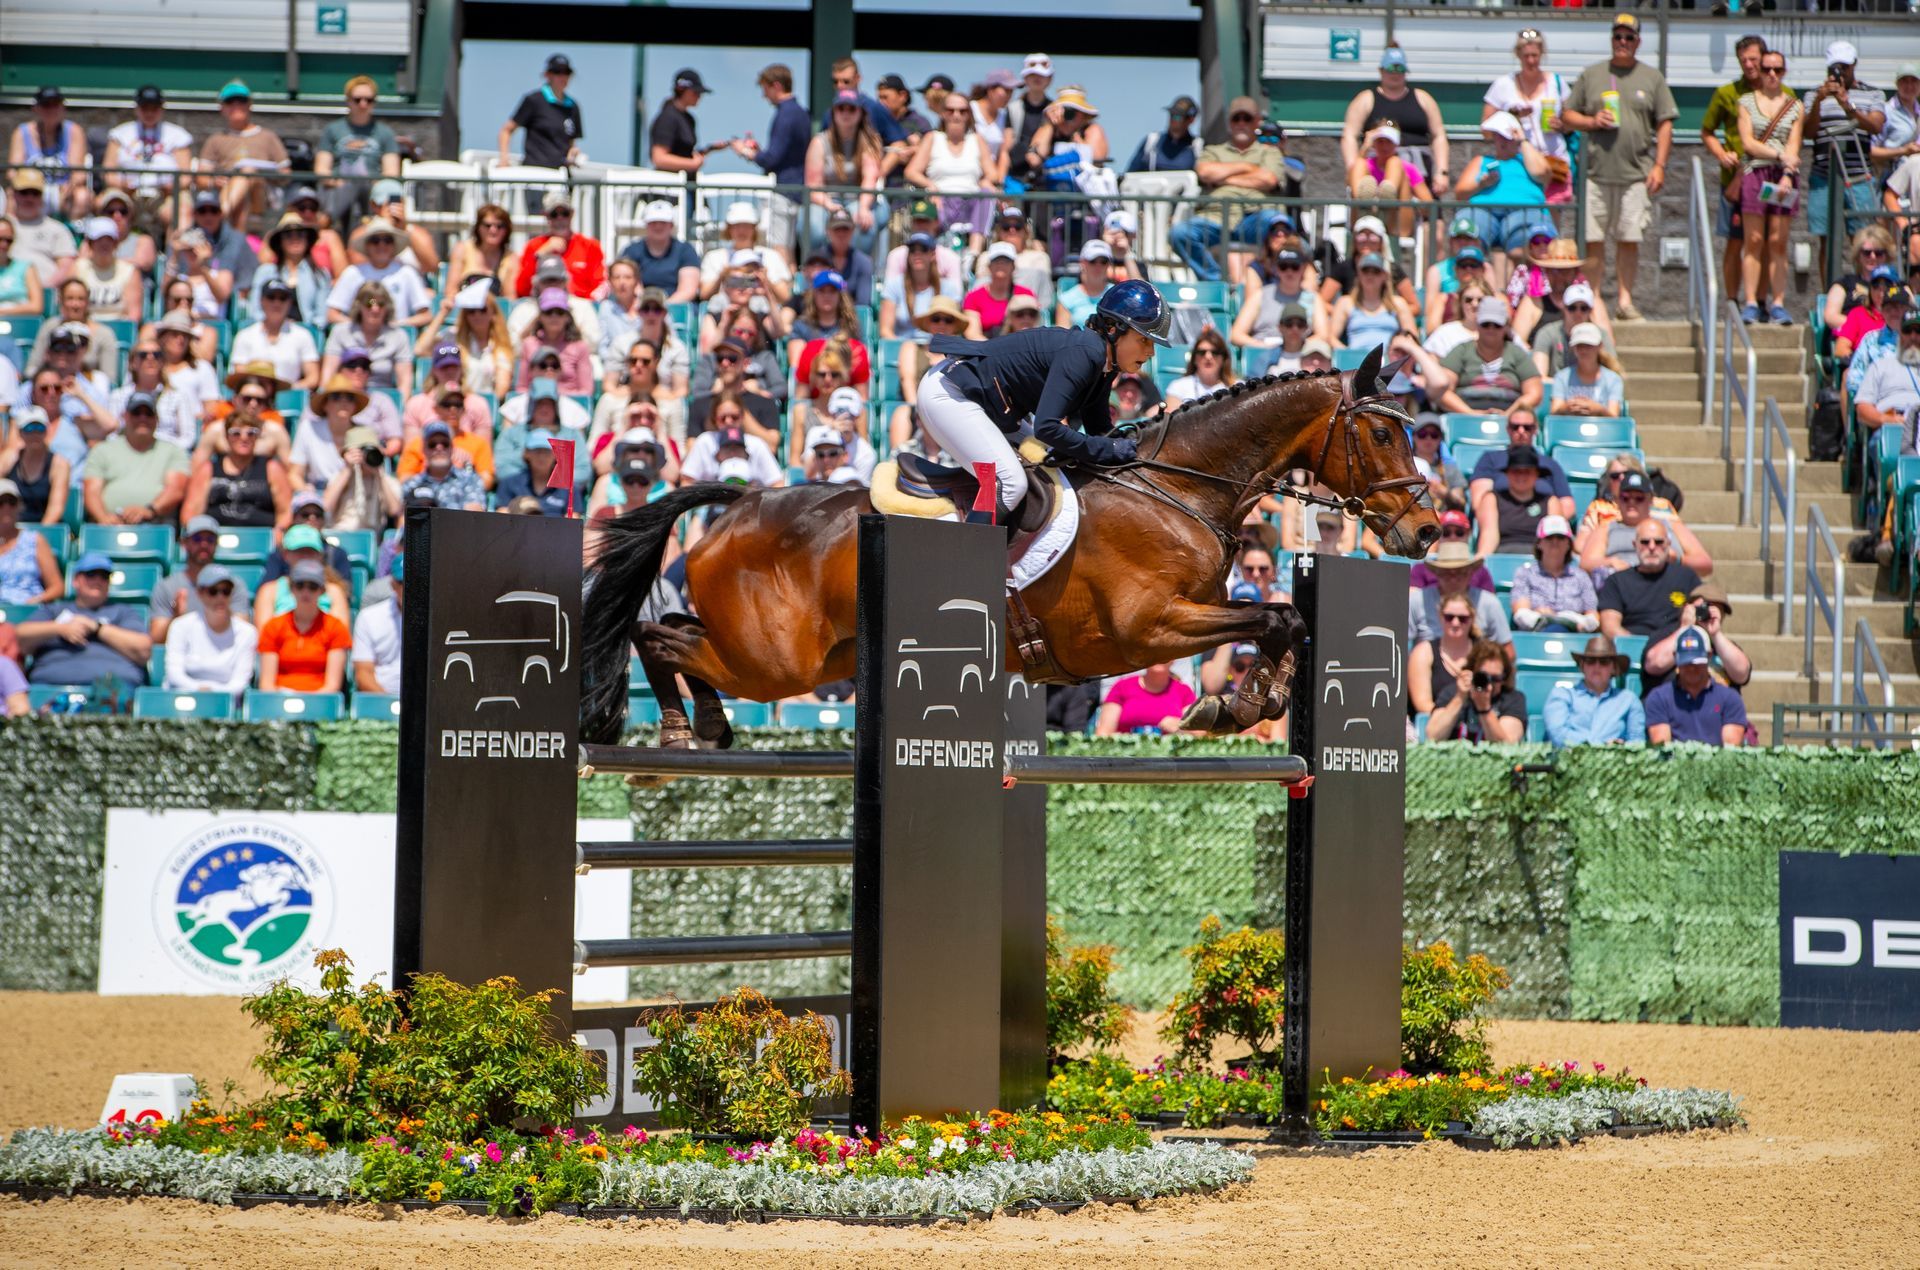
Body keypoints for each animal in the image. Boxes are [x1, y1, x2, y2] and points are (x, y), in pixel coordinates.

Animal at [581, 343, 1439, 747]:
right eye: (1382, 432)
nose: (1428, 530)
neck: (1174, 488)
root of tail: (740, 502)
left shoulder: (1190, 613)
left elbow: (1283, 620)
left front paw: (1247, 698)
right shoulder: (1148, 627)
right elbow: (1271, 617)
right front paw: (1235, 703)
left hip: (801, 652)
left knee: (674, 631)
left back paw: (704, 722)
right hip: (775, 661)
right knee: (657, 635)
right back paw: (680, 726)